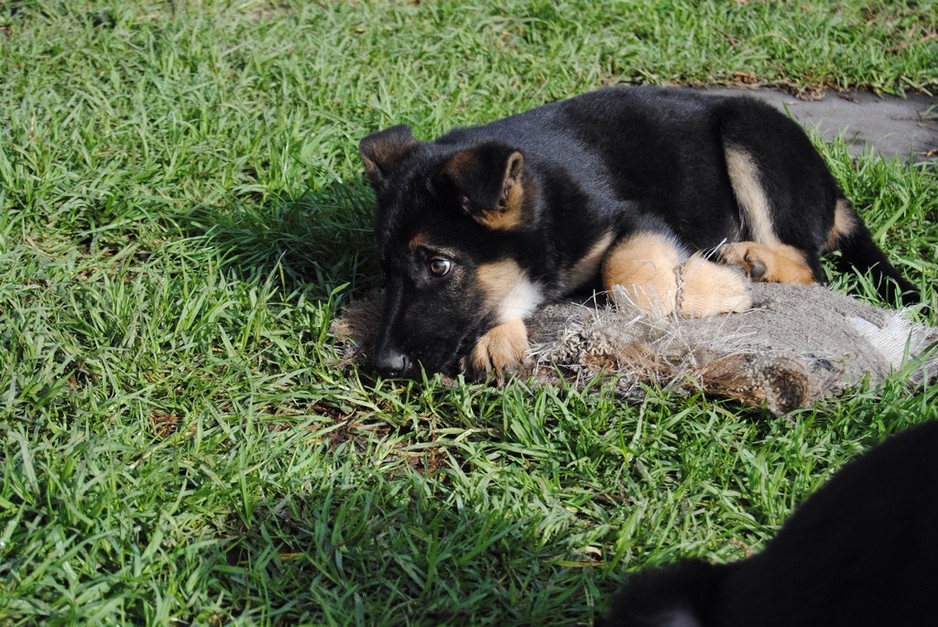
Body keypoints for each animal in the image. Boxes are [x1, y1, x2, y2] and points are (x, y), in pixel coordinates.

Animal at [358, 86, 916, 380]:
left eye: (439, 265)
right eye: (384, 272)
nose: (384, 366)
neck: (546, 193)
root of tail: (832, 189)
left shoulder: (633, 216)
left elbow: (627, 274)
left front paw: (715, 291)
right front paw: (499, 338)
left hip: (749, 133)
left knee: (810, 267)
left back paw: (747, 261)